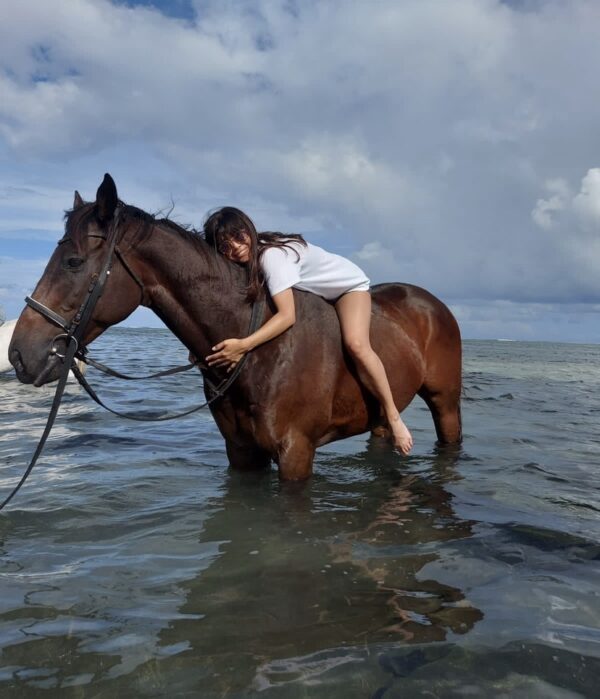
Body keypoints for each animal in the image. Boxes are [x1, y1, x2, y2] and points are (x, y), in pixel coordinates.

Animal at [9, 174, 462, 480]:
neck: (260, 350)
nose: (18, 354)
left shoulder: (296, 454)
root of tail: (432, 304)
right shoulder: (241, 453)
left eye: (73, 262)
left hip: (445, 405)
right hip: (382, 416)